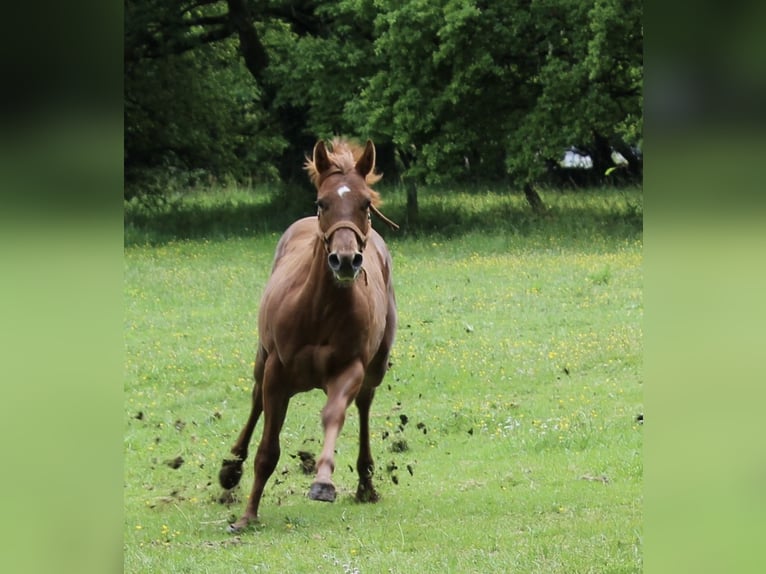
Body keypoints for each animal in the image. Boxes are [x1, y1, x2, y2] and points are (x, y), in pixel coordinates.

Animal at [219, 137, 400, 532]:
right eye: (322, 202)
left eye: (365, 203)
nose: (345, 261)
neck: (320, 310)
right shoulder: (276, 373)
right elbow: (267, 449)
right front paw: (247, 515)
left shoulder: (350, 369)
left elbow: (334, 415)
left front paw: (323, 482)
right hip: (262, 359)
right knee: (255, 400)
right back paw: (230, 469)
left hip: (375, 368)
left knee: (364, 404)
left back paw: (365, 482)